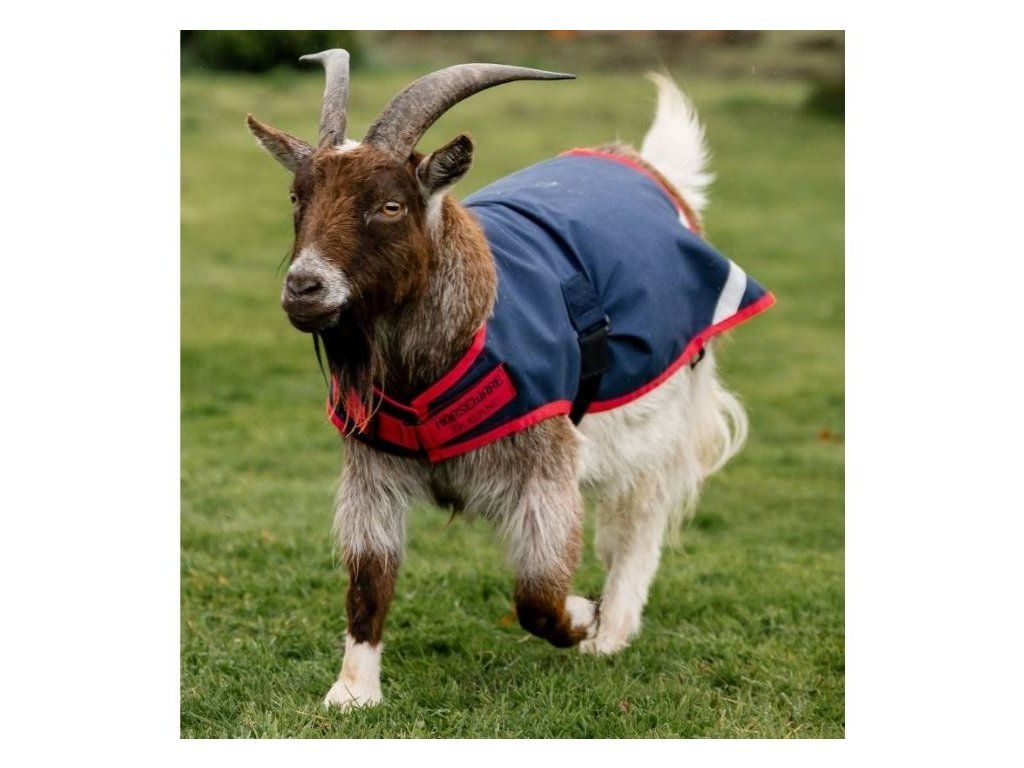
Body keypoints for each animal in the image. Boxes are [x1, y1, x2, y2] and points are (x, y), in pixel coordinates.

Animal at [247, 49, 774, 710]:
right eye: (297, 196)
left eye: (390, 205)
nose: (304, 288)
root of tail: (653, 172)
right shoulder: (372, 468)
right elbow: (369, 577)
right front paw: (352, 691)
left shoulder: (545, 461)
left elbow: (538, 592)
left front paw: (584, 617)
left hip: (661, 409)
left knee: (639, 517)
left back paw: (613, 630)